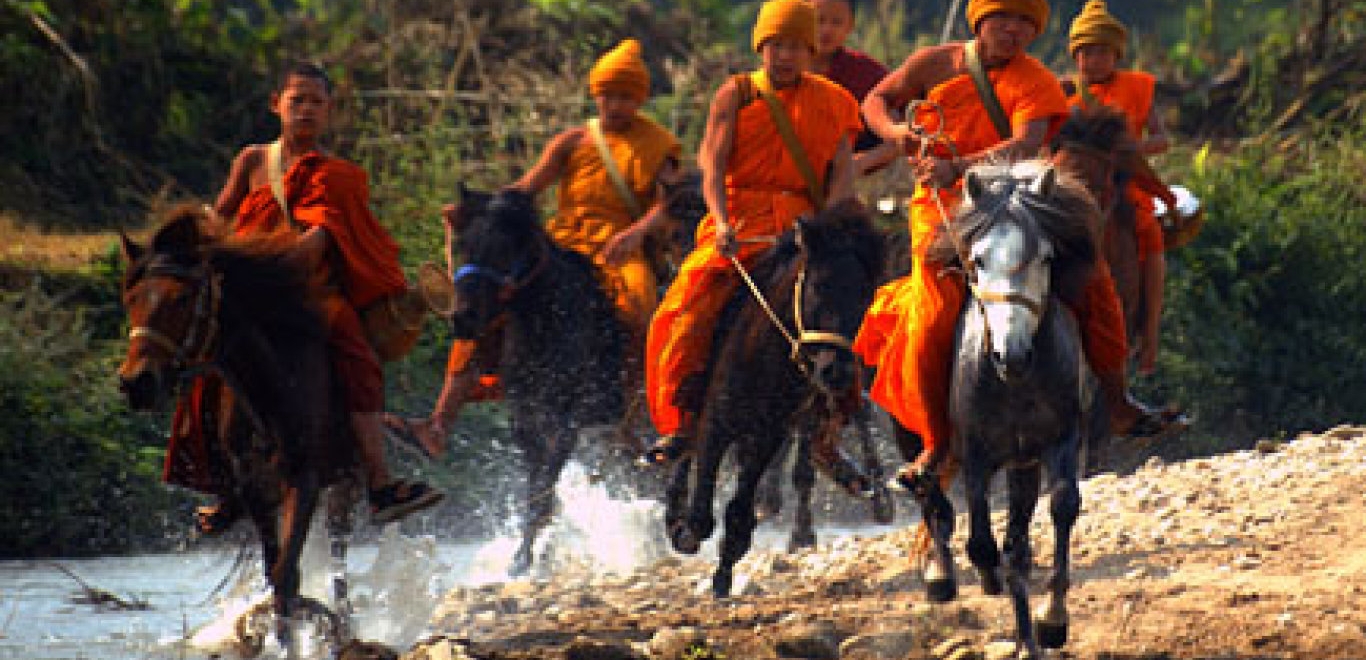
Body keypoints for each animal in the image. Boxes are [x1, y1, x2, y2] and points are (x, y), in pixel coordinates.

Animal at [118, 204, 355, 655]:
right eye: (131, 300)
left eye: (181, 299)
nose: (135, 383)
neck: (270, 387)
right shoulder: (256, 490)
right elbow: (277, 572)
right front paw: (282, 638)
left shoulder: (306, 479)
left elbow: (286, 573)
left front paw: (294, 640)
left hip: (341, 483)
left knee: (339, 559)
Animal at [448, 187, 628, 579]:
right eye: (463, 245)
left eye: (502, 248)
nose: (463, 319)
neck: (545, 325)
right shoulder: (524, 421)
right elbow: (537, 486)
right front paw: (528, 553)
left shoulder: (567, 423)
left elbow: (544, 483)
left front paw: (526, 557)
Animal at [663, 202, 885, 598]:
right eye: (819, 285)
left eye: (865, 297)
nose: (837, 371)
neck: (763, 354)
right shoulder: (716, 422)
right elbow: (702, 514)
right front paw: (684, 532)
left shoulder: (768, 434)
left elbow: (739, 512)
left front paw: (723, 576)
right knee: (684, 446)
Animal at [907, 161, 1109, 660]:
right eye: (978, 260)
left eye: (1046, 259)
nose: (1011, 356)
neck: (1014, 385)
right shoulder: (976, 454)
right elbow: (981, 539)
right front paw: (983, 577)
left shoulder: (1060, 442)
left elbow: (1061, 508)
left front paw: (1052, 619)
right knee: (930, 489)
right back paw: (941, 575)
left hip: (1024, 466)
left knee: (1016, 542)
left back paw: (1027, 639)